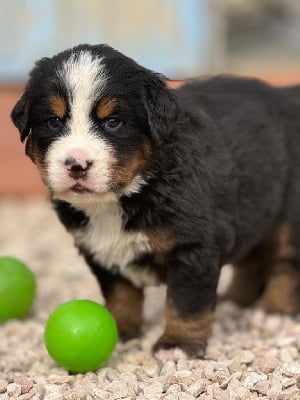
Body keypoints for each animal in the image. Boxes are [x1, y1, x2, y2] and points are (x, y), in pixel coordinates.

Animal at [10, 44, 300, 360]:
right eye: (53, 121)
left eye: (112, 122)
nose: (77, 164)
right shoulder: (100, 250)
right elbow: (121, 295)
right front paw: (122, 330)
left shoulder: (193, 249)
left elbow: (185, 303)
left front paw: (177, 345)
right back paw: (235, 302)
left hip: (288, 216)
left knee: (286, 264)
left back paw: (273, 312)